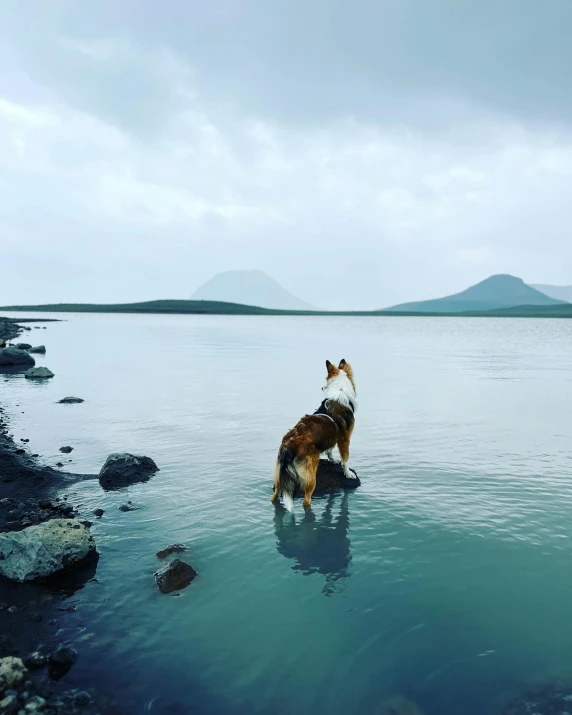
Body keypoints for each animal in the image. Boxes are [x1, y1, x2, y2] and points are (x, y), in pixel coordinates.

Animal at [272, 360, 358, 512]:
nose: (322, 387)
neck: (340, 391)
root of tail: (289, 444)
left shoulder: (333, 436)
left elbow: (330, 449)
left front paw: (332, 460)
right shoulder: (345, 438)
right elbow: (345, 458)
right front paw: (348, 473)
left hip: (279, 478)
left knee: (275, 495)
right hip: (310, 477)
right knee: (306, 500)